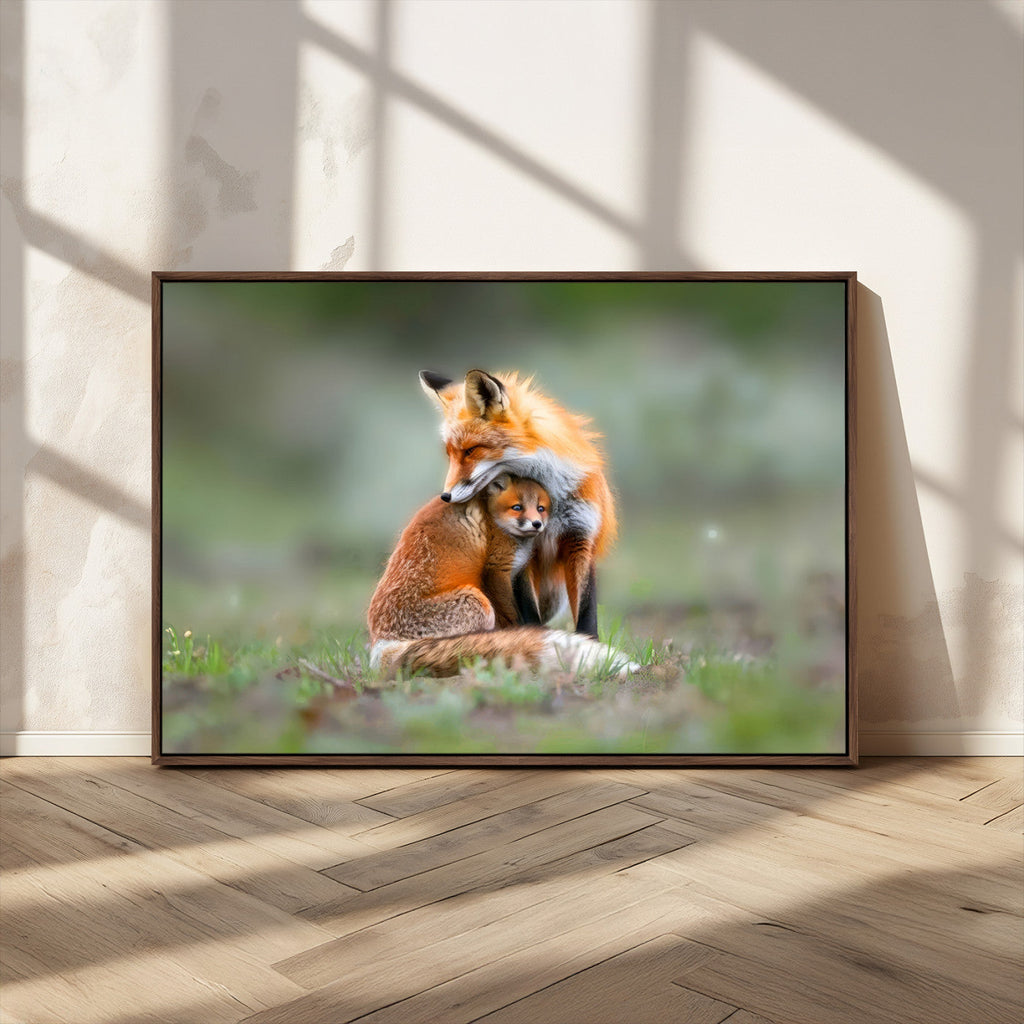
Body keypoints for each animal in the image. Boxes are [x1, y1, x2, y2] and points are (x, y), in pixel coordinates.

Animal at [368, 474, 633, 677]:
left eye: (540, 508)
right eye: (517, 507)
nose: (537, 524)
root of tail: (381, 643)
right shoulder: (497, 569)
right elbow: (513, 615)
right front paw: (524, 635)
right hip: (478, 603)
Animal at [419, 368, 616, 639]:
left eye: (470, 450)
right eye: (450, 454)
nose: (445, 496)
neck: (551, 499)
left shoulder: (580, 538)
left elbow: (586, 612)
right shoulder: (523, 551)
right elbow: (529, 611)